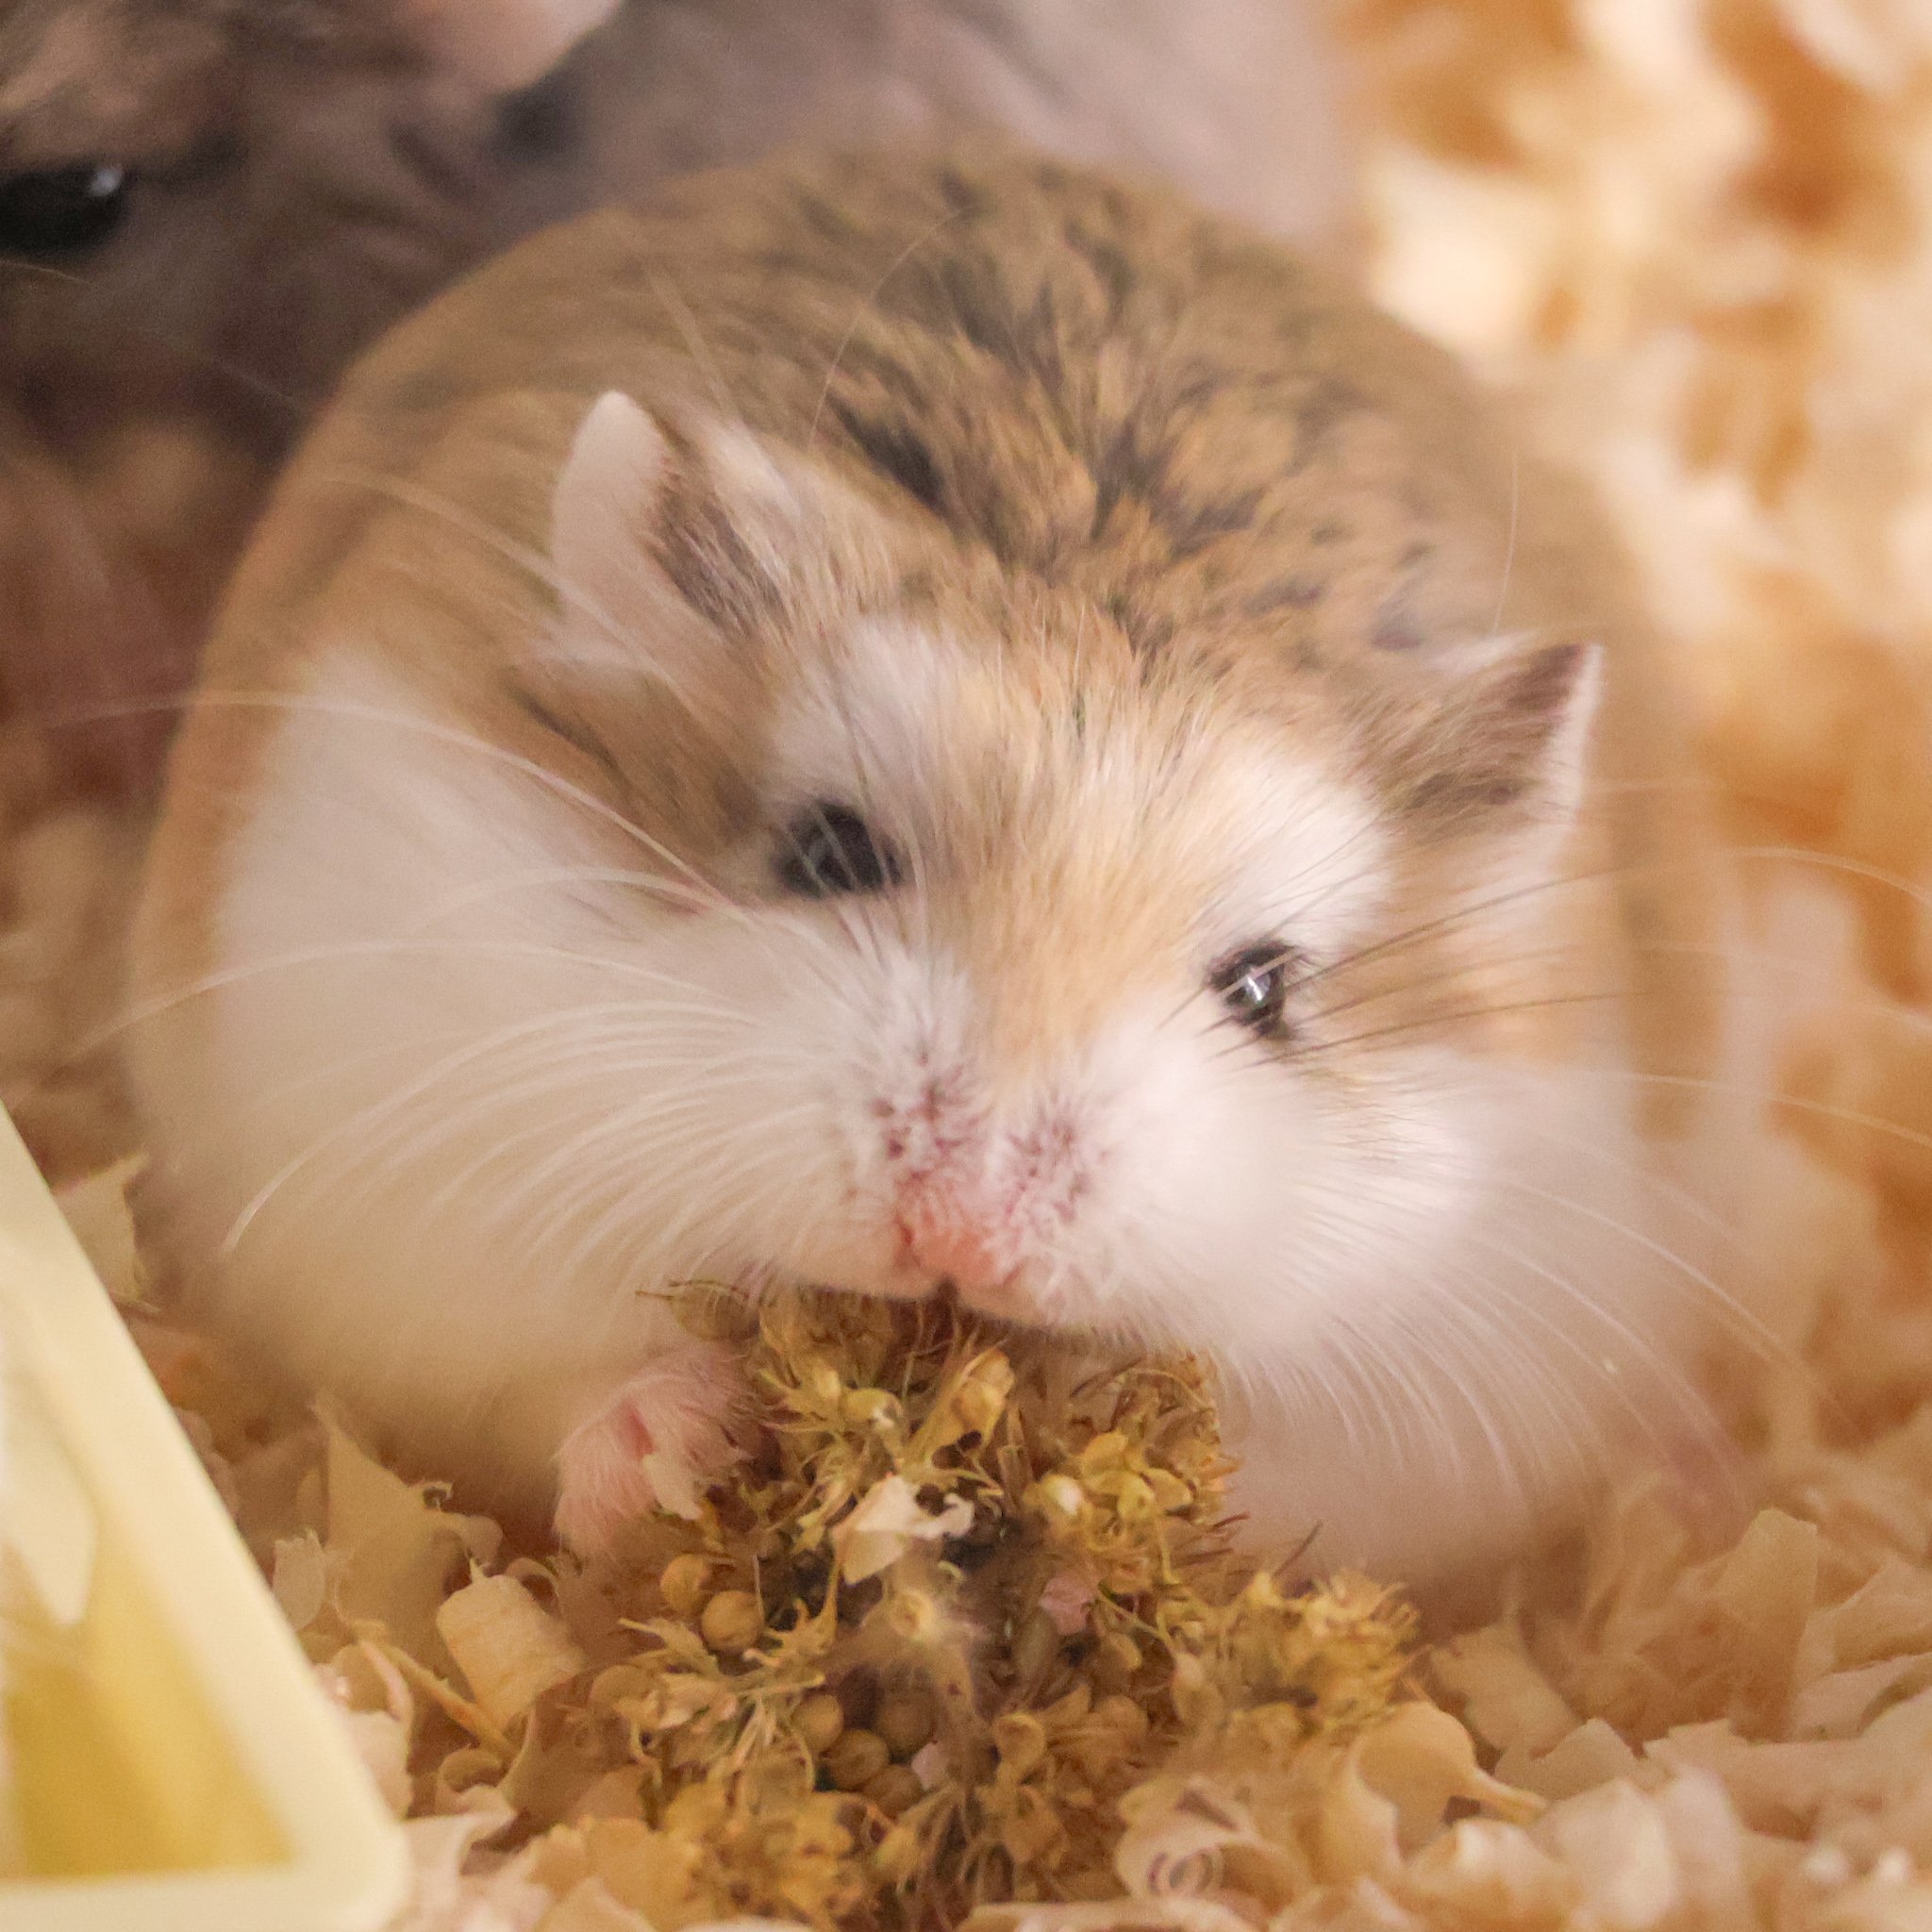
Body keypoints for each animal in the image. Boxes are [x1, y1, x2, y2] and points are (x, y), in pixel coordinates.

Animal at [126, 150, 1741, 1589]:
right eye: (827, 850)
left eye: (1265, 993)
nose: (968, 1232)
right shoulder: (393, 1190)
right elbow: (550, 1375)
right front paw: (678, 1444)